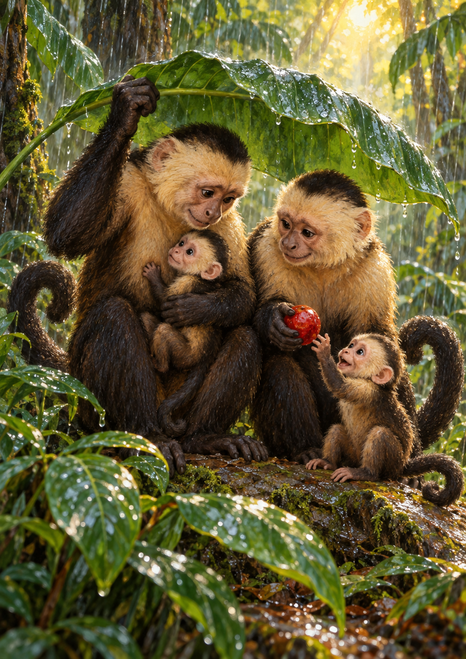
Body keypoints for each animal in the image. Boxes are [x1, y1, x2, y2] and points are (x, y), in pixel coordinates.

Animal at [140, 230, 230, 437]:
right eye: (182, 243)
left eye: (190, 252)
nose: (176, 250)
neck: (200, 277)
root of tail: (205, 355)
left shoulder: (187, 283)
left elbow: (165, 300)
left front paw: (154, 276)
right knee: (149, 320)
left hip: (186, 356)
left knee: (164, 331)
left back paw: (160, 365)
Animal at [248, 169, 464, 466]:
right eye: (285, 224)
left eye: (306, 232)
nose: (288, 243)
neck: (322, 266)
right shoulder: (266, 248)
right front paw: (273, 319)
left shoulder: (373, 266)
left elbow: (380, 338)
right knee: (280, 363)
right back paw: (306, 448)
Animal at [306, 332, 464, 507]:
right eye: (351, 345)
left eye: (360, 352)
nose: (346, 350)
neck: (370, 380)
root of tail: (403, 465)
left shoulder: (367, 390)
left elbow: (338, 385)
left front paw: (324, 352)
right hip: (355, 456)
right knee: (336, 429)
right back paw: (328, 463)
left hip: (393, 463)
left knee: (380, 434)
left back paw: (365, 473)